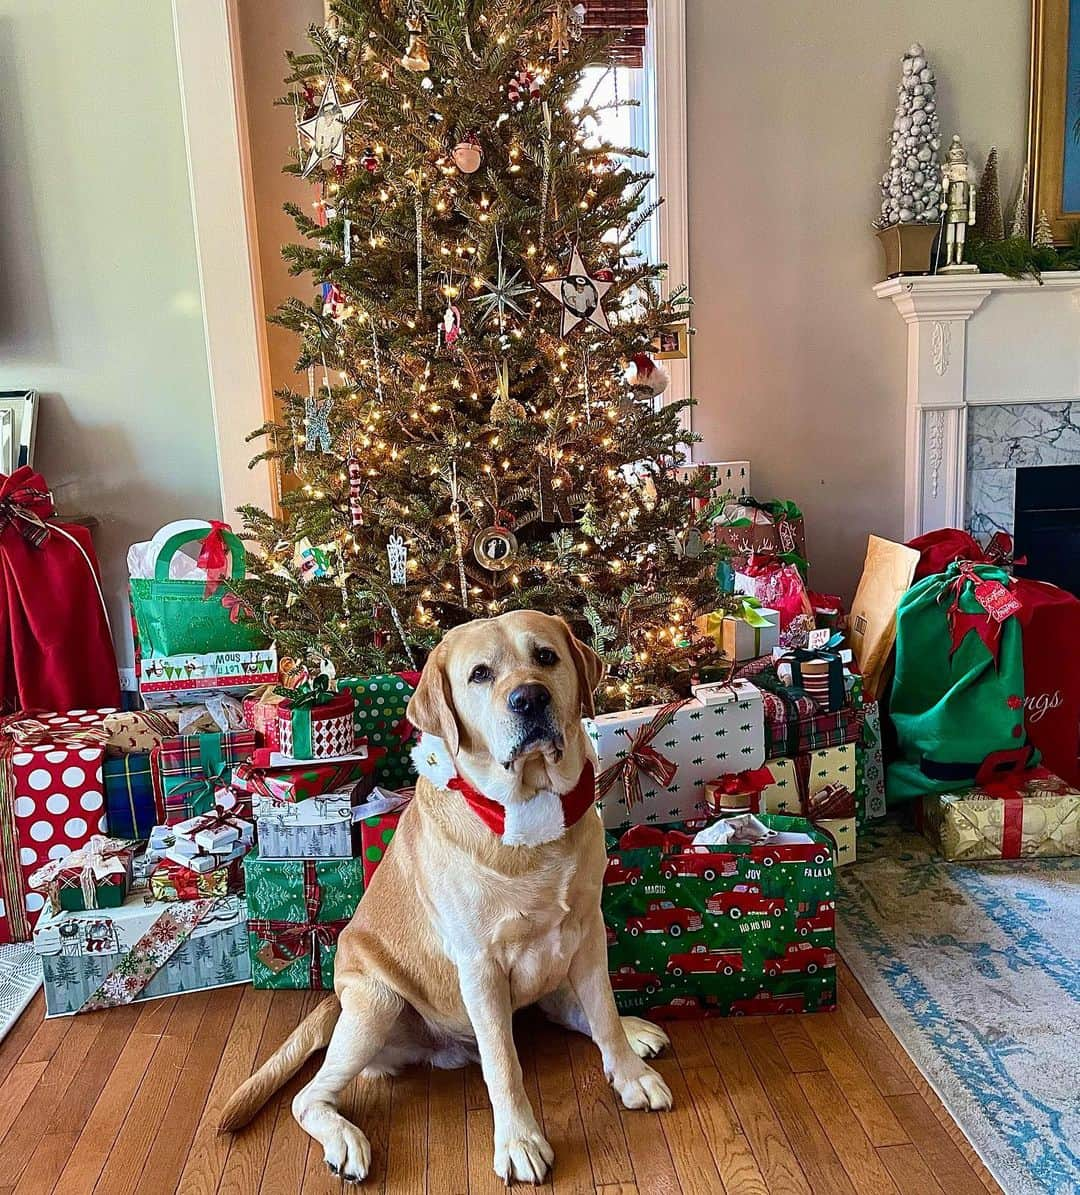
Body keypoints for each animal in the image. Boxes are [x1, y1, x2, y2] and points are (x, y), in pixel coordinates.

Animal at [221, 616, 669, 1185]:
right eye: (480, 674)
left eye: (546, 657)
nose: (529, 698)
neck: (529, 818)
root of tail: (335, 998)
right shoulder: (479, 966)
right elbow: (503, 1064)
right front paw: (519, 1141)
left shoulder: (588, 929)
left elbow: (605, 1012)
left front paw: (630, 1073)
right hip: (377, 1002)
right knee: (307, 1098)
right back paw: (344, 1140)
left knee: (571, 1006)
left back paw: (633, 1032)